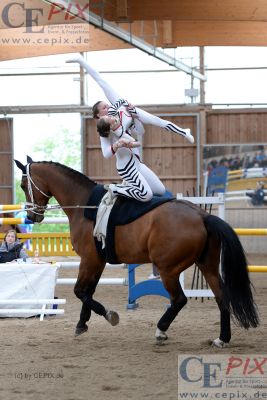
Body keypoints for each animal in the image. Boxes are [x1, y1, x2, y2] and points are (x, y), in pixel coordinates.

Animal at [14, 159, 260, 346]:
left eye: (24, 184)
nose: (32, 216)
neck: (84, 205)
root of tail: (202, 215)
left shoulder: (89, 260)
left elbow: (80, 292)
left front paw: (109, 316)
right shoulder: (97, 262)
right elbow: (88, 292)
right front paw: (82, 324)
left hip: (168, 270)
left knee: (179, 299)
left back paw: (161, 331)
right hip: (206, 266)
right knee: (221, 298)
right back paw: (222, 338)